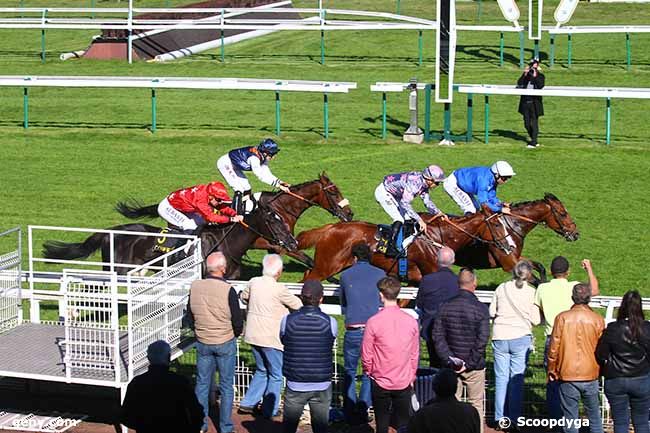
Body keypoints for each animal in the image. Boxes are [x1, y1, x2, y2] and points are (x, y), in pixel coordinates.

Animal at [43, 202, 298, 276]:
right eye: (275, 222)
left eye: (284, 219)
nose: (293, 243)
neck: (225, 245)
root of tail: (108, 232)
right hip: (117, 271)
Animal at [294, 208, 512, 286]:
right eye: (496, 224)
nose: (509, 245)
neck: (437, 237)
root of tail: (330, 227)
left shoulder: (415, 281)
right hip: (327, 266)